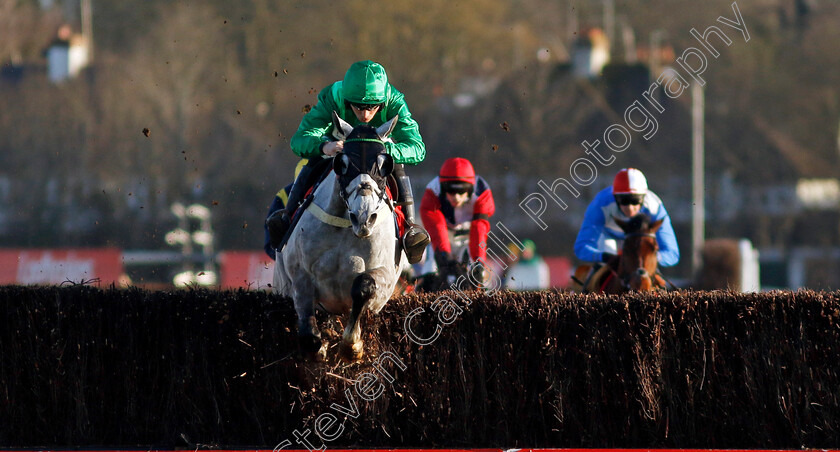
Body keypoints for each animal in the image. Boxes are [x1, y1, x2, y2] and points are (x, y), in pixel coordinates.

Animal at [274, 112, 406, 360]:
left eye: (384, 165)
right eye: (342, 164)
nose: (364, 216)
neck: (347, 227)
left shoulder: (385, 274)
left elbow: (363, 286)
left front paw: (351, 344)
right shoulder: (299, 273)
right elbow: (308, 334)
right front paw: (320, 345)